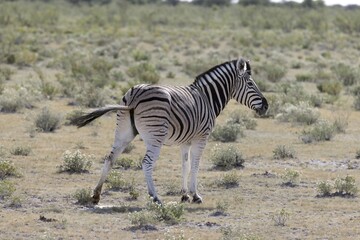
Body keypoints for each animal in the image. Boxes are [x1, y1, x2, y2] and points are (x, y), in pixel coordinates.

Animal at [71, 58, 268, 204]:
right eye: (250, 83)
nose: (266, 106)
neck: (207, 98)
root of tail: (134, 95)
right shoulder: (201, 137)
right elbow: (195, 165)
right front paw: (195, 195)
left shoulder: (186, 140)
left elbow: (185, 165)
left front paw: (185, 195)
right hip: (155, 137)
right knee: (146, 163)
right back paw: (155, 197)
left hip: (123, 132)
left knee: (110, 158)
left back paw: (96, 195)